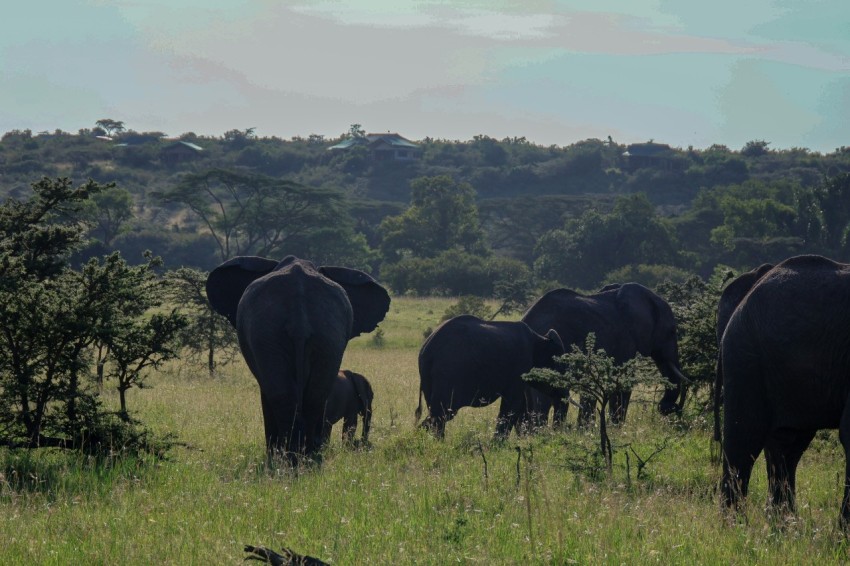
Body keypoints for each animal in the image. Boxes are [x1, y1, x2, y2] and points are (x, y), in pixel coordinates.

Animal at [205, 258, 390, 466]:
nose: (363, 444)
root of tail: (298, 304)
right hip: (326, 334)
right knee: (314, 396)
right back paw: (304, 458)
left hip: (271, 333)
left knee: (284, 395)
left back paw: (290, 459)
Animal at [412, 318, 564, 442]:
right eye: (560, 367)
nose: (555, 432)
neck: (539, 338)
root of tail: (426, 350)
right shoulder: (520, 365)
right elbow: (514, 404)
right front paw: (498, 445)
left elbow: (519, 406)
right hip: (447, 373)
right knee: (443, 414)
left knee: (438, 414)